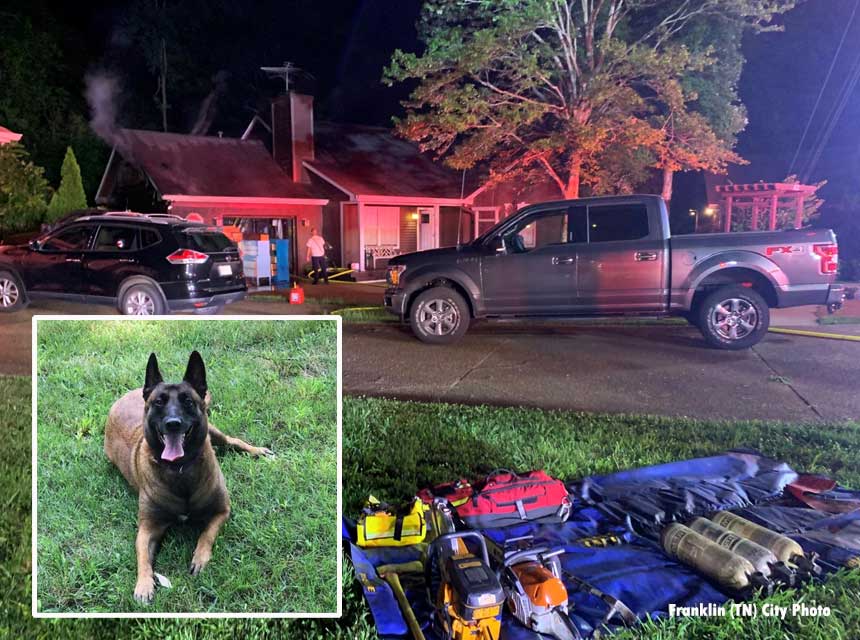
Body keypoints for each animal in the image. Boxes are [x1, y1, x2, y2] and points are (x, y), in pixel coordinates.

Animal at [104, 352, 272, 604]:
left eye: (188, 401)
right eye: (159, 402)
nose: (173, 423)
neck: (179, 471)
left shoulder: (222, 511)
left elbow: (206, 535)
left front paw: (200, 559)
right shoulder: (147, 528)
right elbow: (142, 557)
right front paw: (144, 584)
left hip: (214, 432)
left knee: (233, 440)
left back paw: (257, 451)